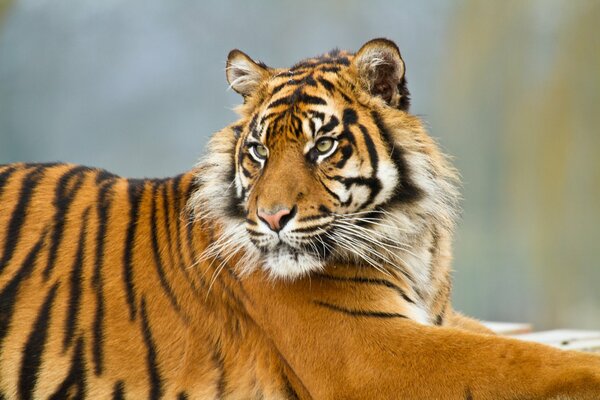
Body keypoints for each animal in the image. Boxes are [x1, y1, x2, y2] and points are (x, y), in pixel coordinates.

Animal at [1, 38, 600, 400]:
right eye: (259, 151)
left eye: (323, 146)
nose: (271, 218)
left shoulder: (435, 318)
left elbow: (526, 345)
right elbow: (521, 360)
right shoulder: (369, 351)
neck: (413, 242)